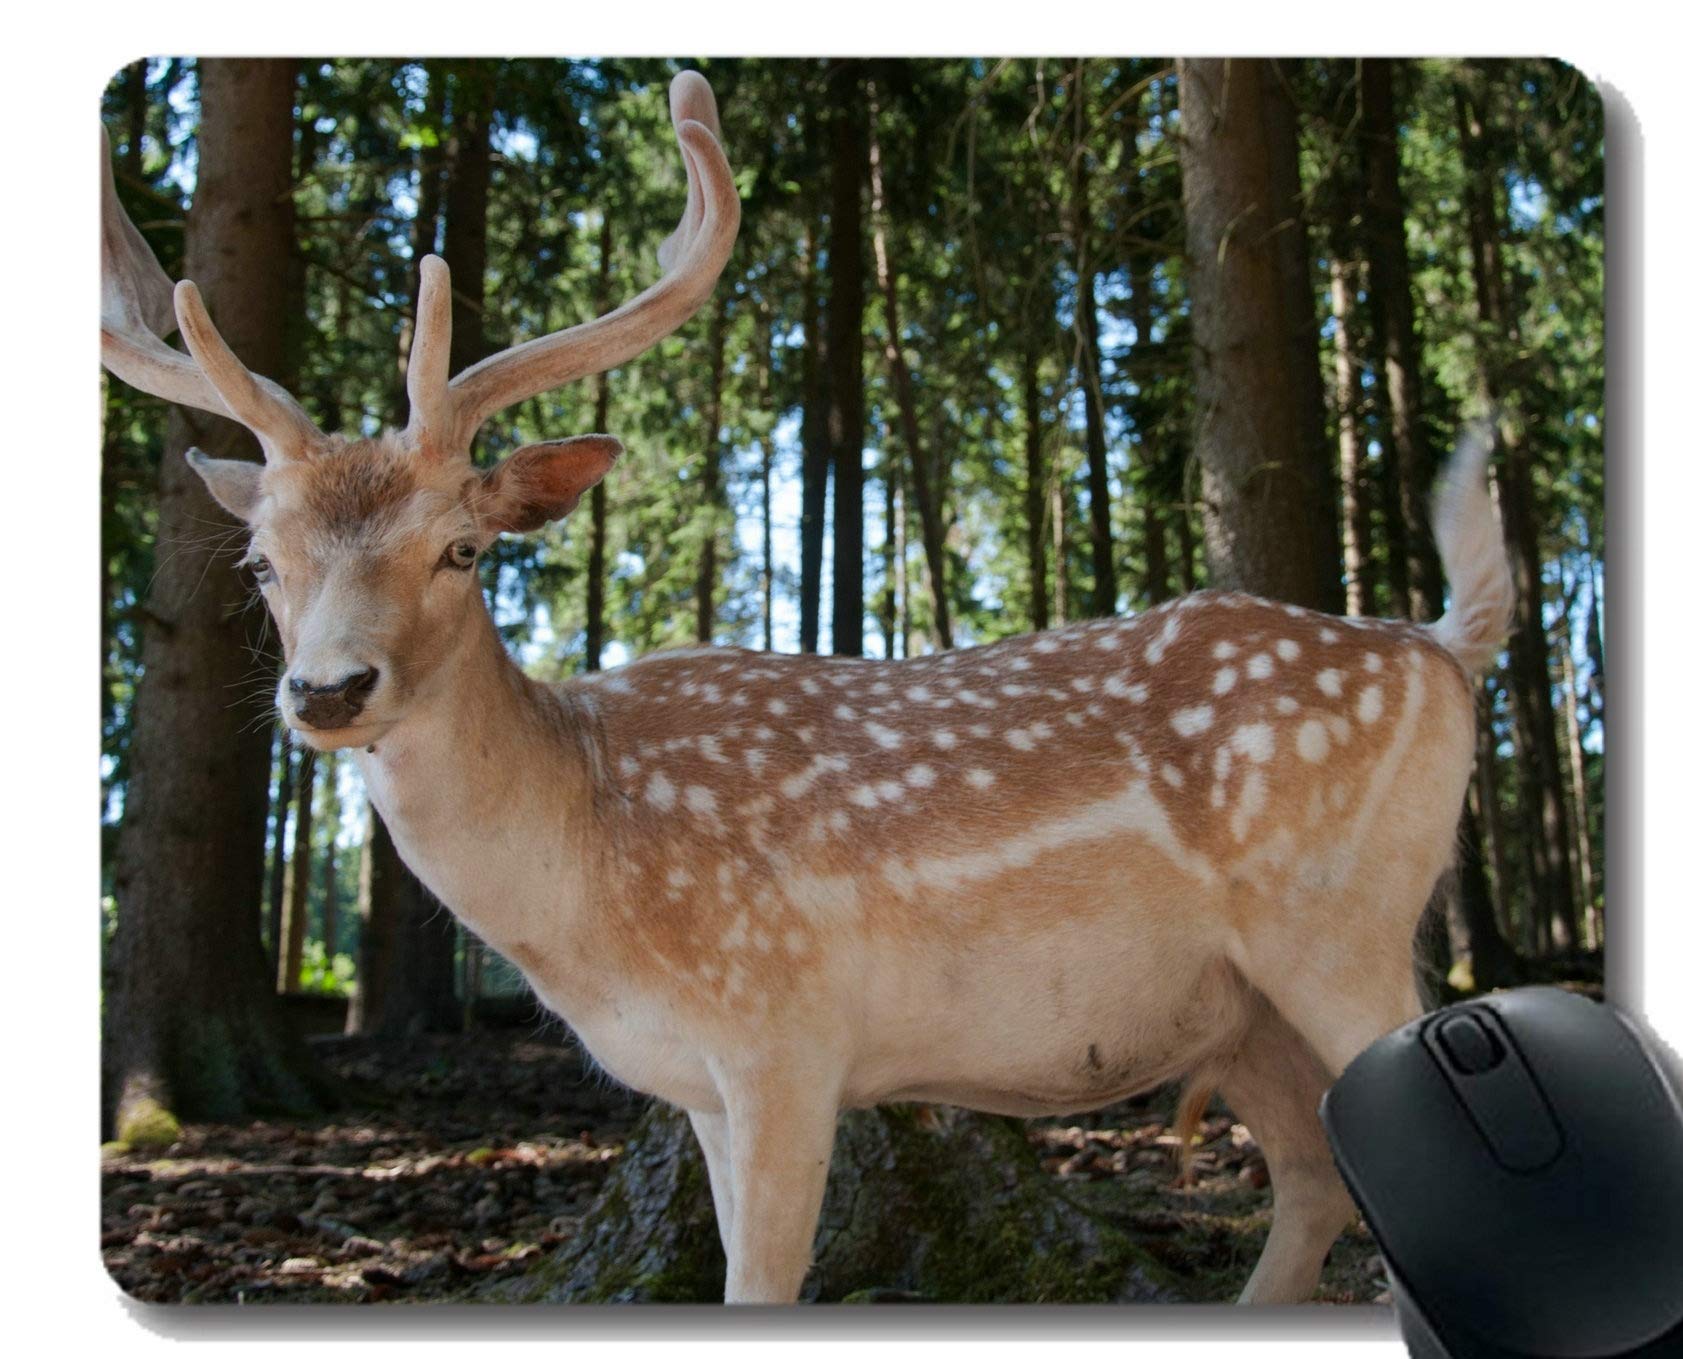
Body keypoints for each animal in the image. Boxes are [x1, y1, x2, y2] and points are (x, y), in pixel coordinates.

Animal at [102, 70, 1515, 1305]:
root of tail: (1443, 651)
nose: (328, 691)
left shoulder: (783, 1027)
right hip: (1242, 1008)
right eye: (260, 560)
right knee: (1318, 1178)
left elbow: (764, 1283)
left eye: (462, 548)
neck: (592, 882)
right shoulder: (700, 1083)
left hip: (1340, 923)